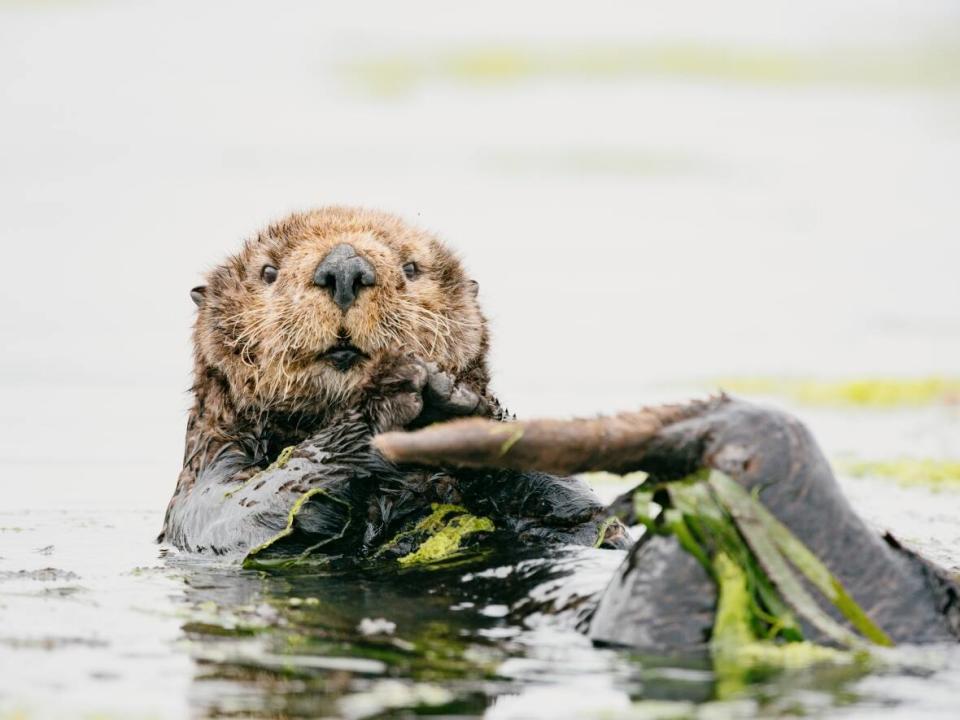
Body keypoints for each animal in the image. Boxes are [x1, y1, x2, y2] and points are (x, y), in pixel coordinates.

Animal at [161, 208, 632, 564]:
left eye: (412, 267)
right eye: (269, 271)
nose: (344, 268)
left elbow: (593, 523)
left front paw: (462, 408)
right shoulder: (209, 470)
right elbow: (229, 513)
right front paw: (384, 408)